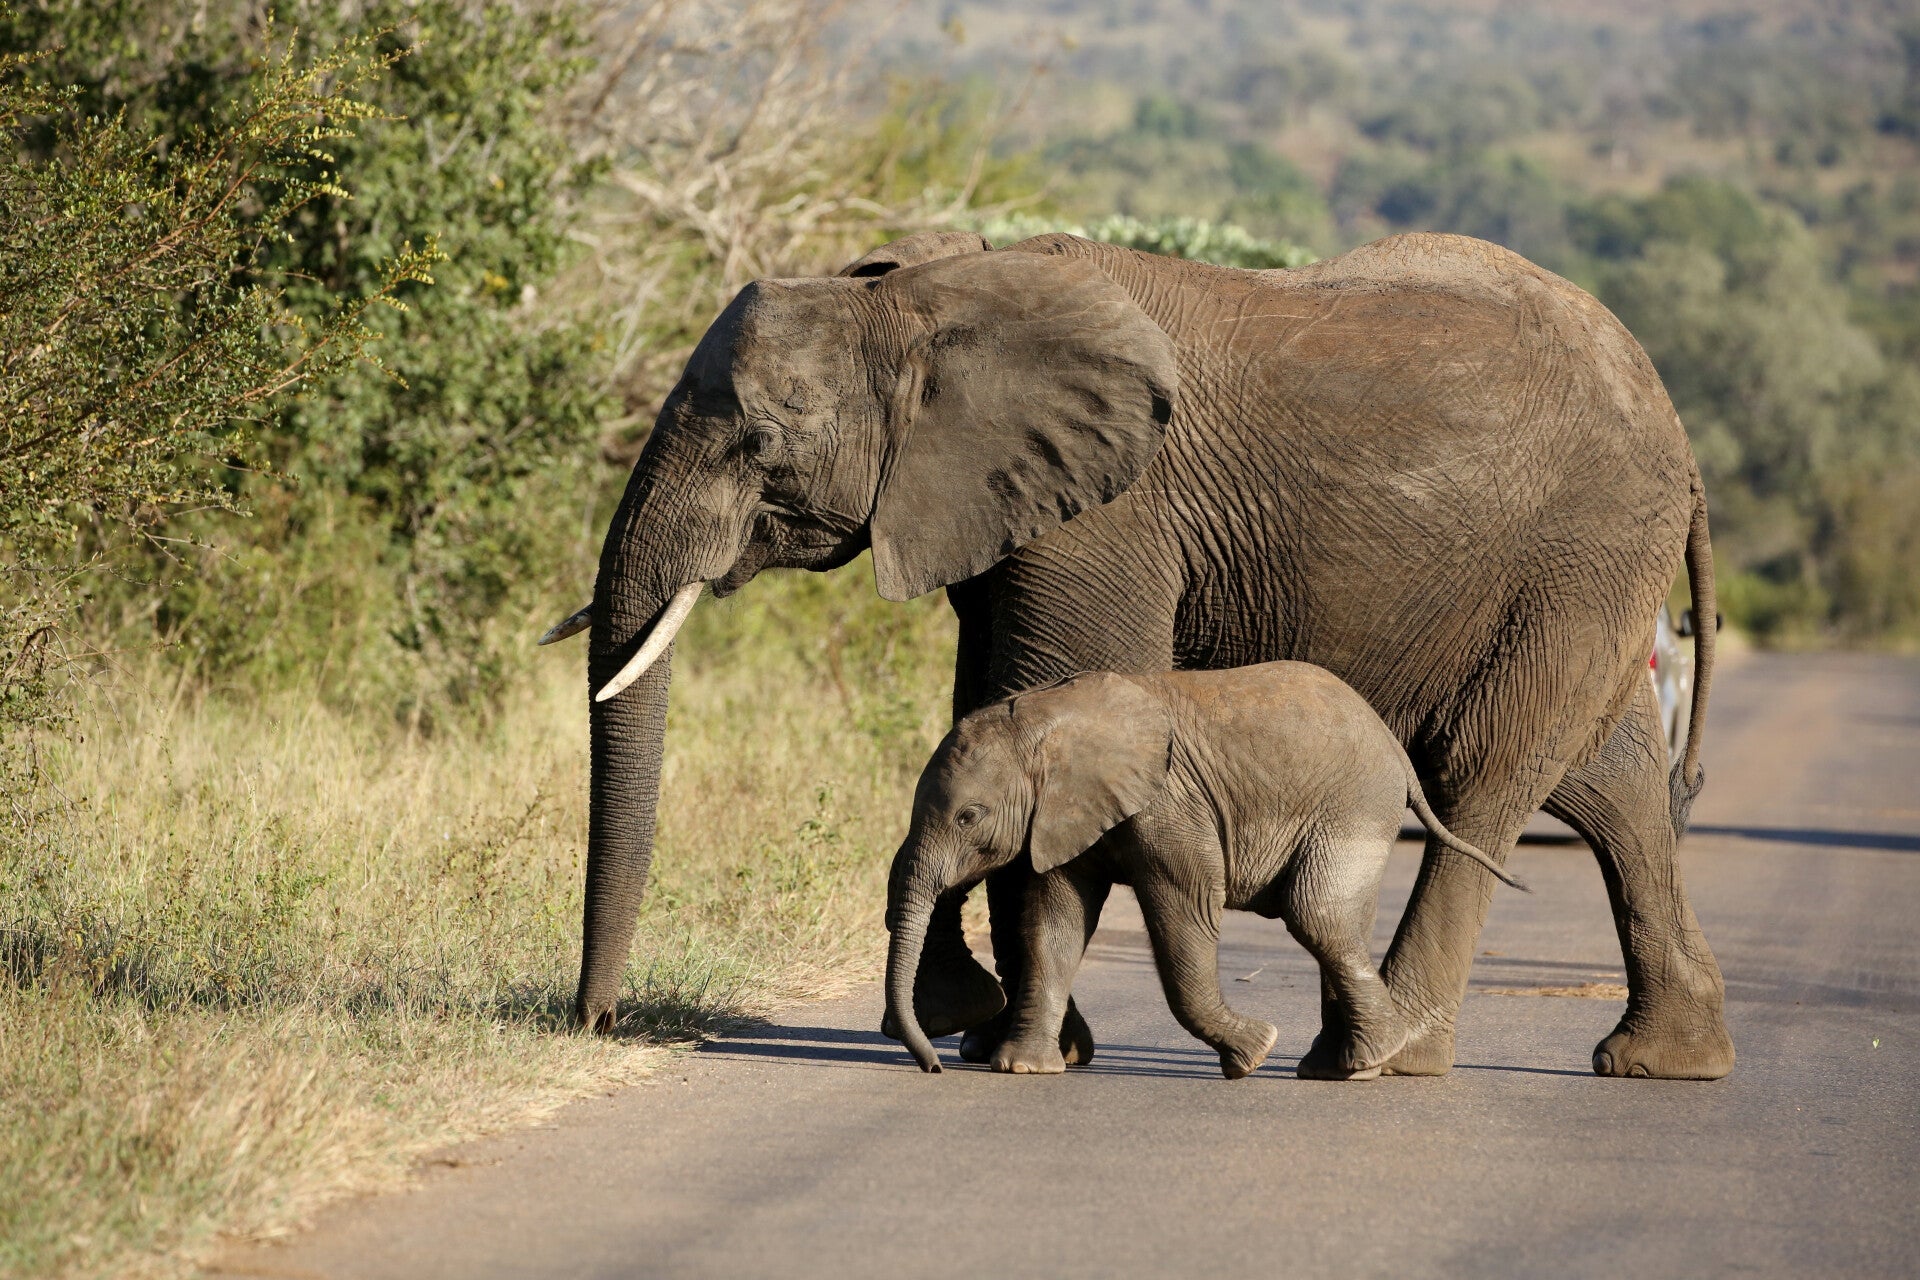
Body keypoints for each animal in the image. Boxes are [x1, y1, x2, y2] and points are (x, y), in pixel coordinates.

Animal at [884, 665, 1525, 1080]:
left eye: (969, 816)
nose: (934, 1068)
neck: (1044, 717)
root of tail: (1395, 750)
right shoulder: (1061, 817)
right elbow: (1054, 926)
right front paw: (1024, 1070)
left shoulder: (1171, 804)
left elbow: (1185, 917)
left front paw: (1253, 1054)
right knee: (1335, 924)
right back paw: (1339, 1069)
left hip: (1355, 807)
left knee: (1316, 915)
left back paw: (1369, 1061)